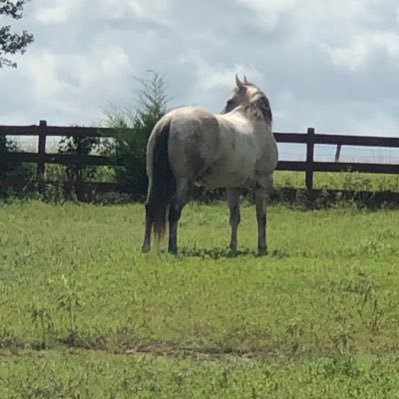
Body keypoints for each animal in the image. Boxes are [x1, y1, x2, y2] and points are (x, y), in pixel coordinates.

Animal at [143, 76, 278, 255]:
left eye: (229, 101)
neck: (254, 121)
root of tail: (169, 120)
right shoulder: (264, 184)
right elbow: (261, 217)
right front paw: (262, 247)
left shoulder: (232, 187)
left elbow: (235, 217)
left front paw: (233, 247)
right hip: (184, 181)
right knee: (174, 210)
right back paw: (173, 247)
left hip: (153, 179)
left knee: (149, 207)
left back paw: (145, 246)